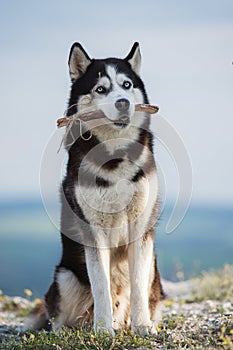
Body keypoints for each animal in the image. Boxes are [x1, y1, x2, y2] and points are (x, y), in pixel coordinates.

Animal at [29, 42, 164, 334]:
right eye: (100, 89)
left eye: (126, 85)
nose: (123, 103)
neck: (114, 156)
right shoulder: (93, 231)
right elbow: (101, 283)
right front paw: (102, 331)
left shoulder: (140, 228)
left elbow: (137, 284)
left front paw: (142, 326)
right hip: (65, 277)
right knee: (57, 317)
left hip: (154, 272)